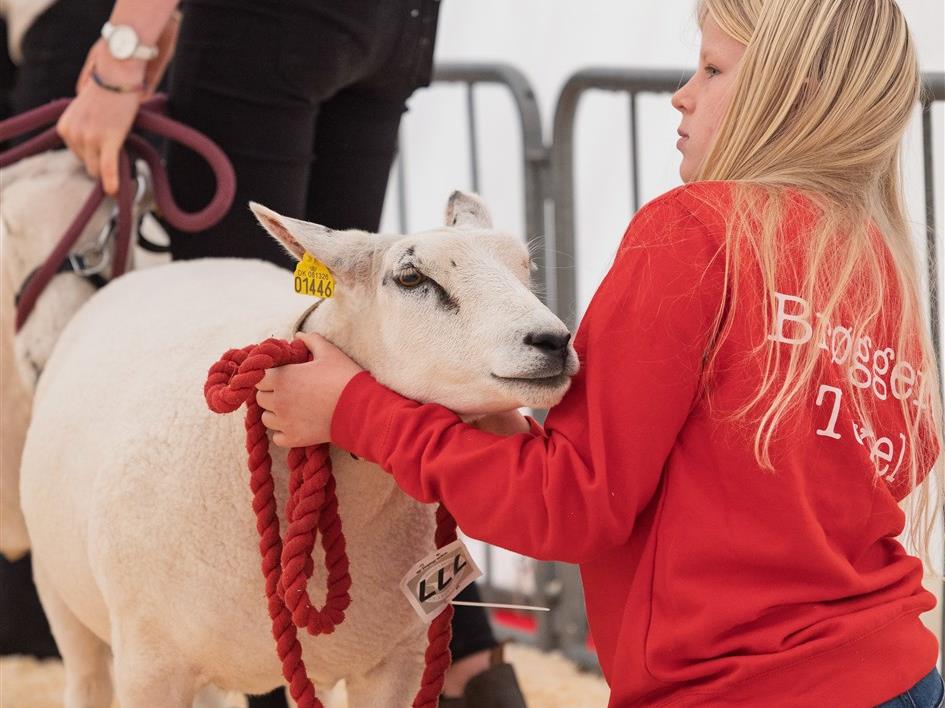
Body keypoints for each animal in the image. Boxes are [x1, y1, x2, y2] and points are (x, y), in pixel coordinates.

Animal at [11, 162, 579, 707]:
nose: (552, 341)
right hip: (60, 591)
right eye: (410, 276)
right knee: (86, 680)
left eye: (526, 269)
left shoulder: (396, 662)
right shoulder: (148, 665)